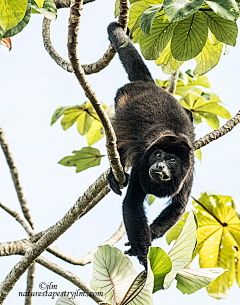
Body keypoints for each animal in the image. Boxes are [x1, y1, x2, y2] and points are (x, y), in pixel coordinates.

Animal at [107, 22, 195, 268]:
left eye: (171, 160)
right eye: (157, 155)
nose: (160, 166)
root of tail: (149, 86)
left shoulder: (189, 170)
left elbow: (178, 207)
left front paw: (151, 234)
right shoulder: (142, 163)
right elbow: (131, 205)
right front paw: (146, 259)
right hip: (123, 97)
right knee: (118, 138)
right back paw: (114, 171)